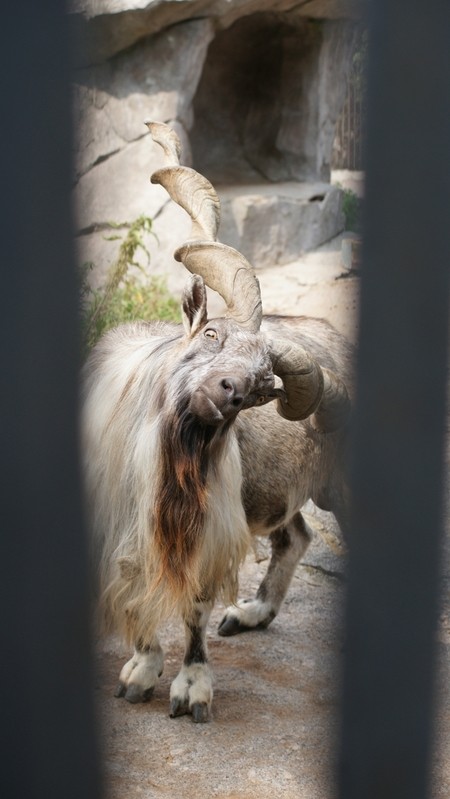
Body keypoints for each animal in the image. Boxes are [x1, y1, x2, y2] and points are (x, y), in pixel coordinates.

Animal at [82, 120, 354, 724]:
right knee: (296, 536)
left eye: (263, 385)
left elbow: (195, 609)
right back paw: (252, 613)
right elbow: (137, 590)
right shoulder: (125, 532)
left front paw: (191, 689)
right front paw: (140, 671)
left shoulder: (208, 536)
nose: (229, 392)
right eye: (211, 334)